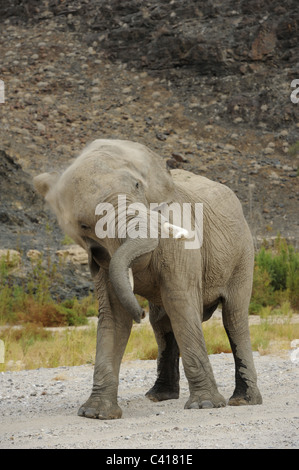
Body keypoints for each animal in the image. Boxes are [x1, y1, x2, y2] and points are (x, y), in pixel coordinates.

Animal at [33, 140, 262, 418]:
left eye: (137, 186)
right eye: (85, 226)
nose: (139, 314)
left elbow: (181, 302)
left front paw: (205, 405)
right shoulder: (103, 258)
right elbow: (114, 314)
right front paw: (95, 414)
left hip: (243, 252)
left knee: (234, 317)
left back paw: (244, 401)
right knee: (161, 322)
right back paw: (159, 396)